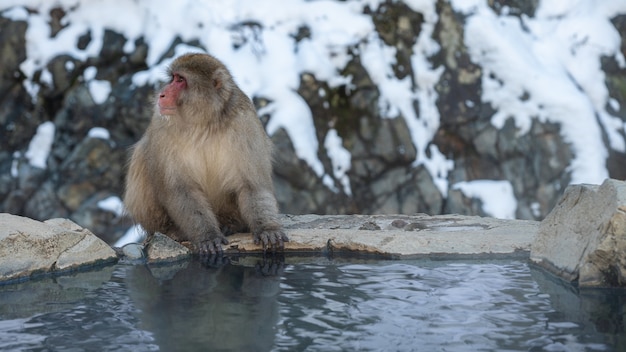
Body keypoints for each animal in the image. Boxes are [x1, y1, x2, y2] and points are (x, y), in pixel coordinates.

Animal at [123, 53, 288, 256]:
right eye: (173, 78)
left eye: (181, 80)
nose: (162, 94)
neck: (204, 122)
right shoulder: (161, 126)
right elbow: (181, 189)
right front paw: (208, 236)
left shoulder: (245, 123)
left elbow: (252, 184)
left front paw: (267, 228)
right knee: (142, 155)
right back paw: (172, 229)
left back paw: (230, 224)